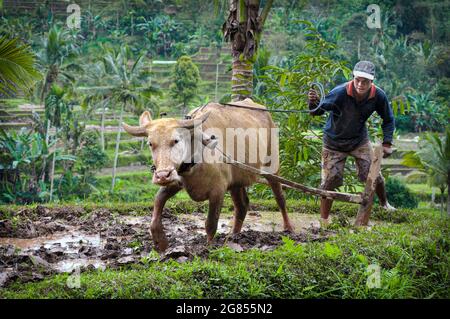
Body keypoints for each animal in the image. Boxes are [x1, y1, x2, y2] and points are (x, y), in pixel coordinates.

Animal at [122, 98, 296, 252]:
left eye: (176, 140)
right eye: (151, 143)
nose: (162, 175)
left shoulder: (218, 191)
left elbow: (211, 223)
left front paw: (208, 247)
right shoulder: (177, 178)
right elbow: (157, 204)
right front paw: (160, 241)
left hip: (272, 166)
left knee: (280, 197)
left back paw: (289, 228)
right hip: (236, 180)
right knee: (242, 205)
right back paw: (235, 235)